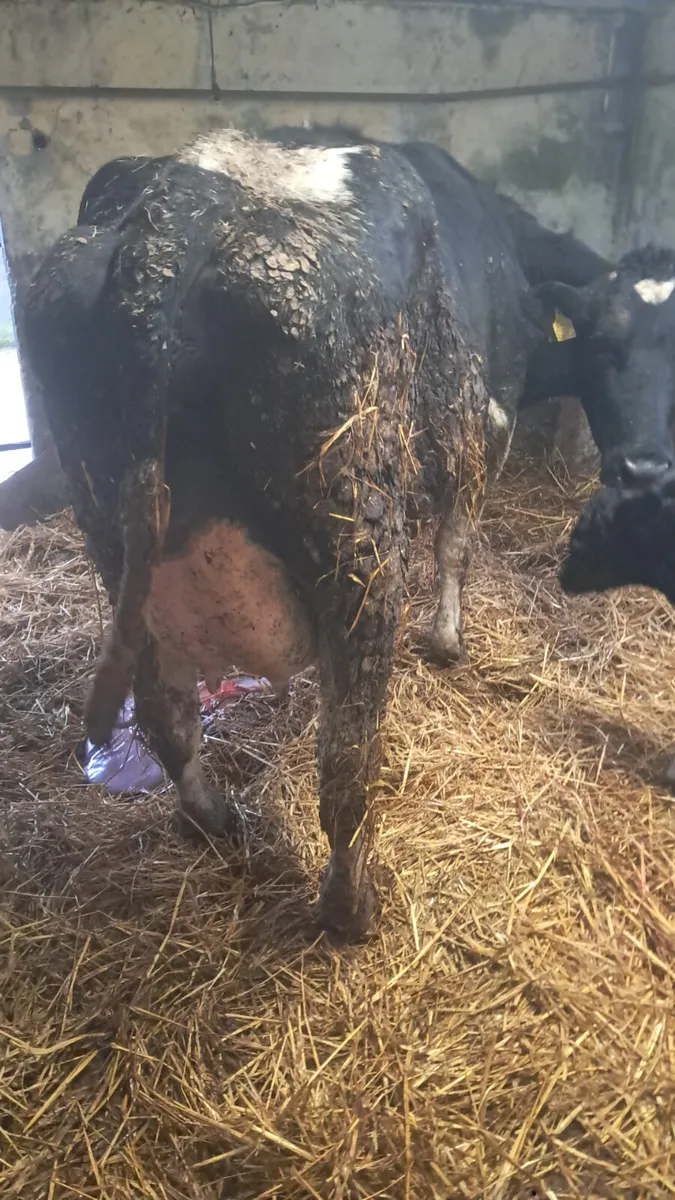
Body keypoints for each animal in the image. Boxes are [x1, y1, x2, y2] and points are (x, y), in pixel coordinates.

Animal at [21, 128, 675, 940]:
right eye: (610, 348)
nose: (646, 467)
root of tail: (171, 220)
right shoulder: (479, 425)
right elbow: (456, 544)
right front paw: (448, 642)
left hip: (112, 537)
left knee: (167, 716)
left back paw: (213, 819)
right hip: (356, 545)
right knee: (346, 760)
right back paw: (349, 905)